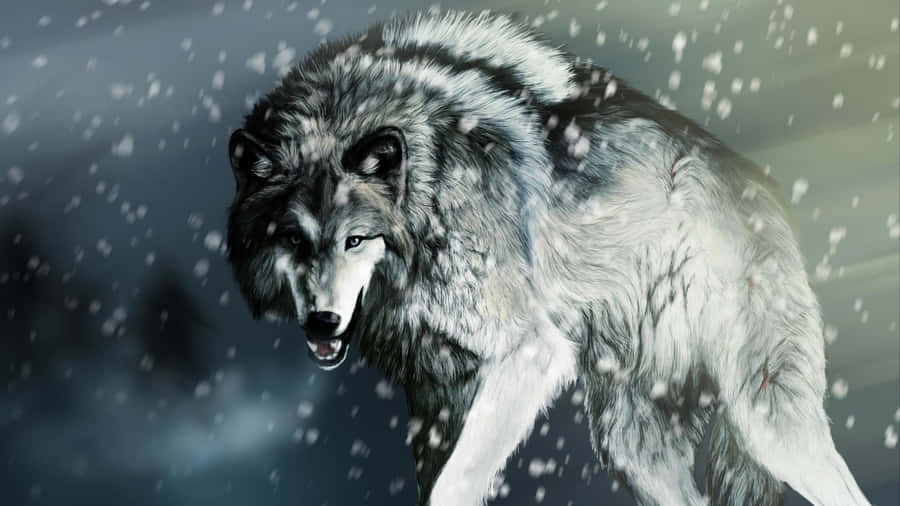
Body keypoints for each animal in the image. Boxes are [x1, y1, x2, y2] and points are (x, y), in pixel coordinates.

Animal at [224, 10, 870, 506]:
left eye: (356, 240)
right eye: (293, 240)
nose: (322, 322)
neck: (429, 189)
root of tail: (761, 185)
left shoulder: (528, 352)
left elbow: (454, 485)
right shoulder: (436, 396)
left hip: (767, 422)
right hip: (630, 446)